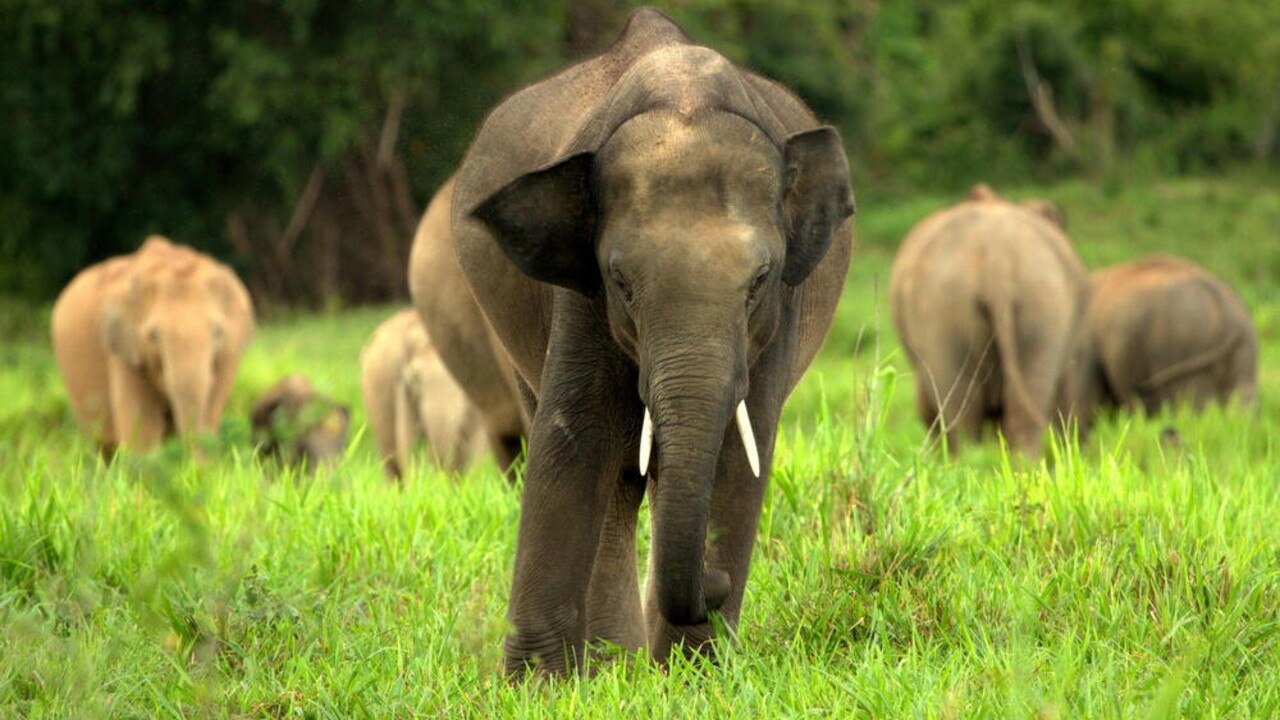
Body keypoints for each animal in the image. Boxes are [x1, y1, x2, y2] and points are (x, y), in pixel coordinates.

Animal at [51, 236, 255, 453]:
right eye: (154, 336)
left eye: (217, 332)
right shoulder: (125, 350)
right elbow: (142, 426)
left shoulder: (228, 355)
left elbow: (211, 410)